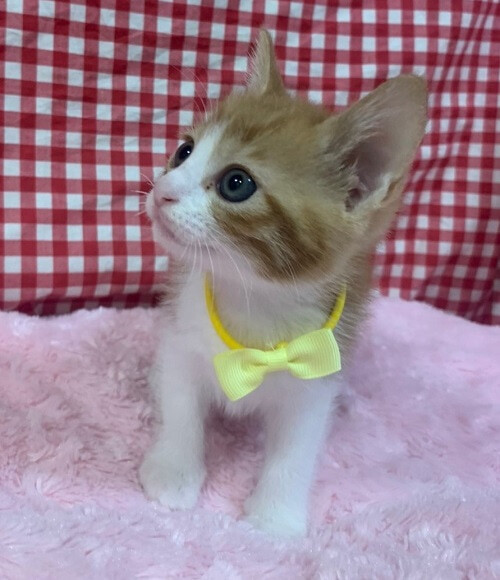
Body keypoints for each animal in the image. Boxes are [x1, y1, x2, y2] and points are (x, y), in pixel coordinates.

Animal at [139, 29, 427, 537]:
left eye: (236, 183)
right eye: (184, 151)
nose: (161, 191)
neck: (257, 300)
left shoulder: (319, 369)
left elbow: (297, 448)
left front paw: (275, 516)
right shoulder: (180, 337)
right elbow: (181, 405)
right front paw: (173, 474)